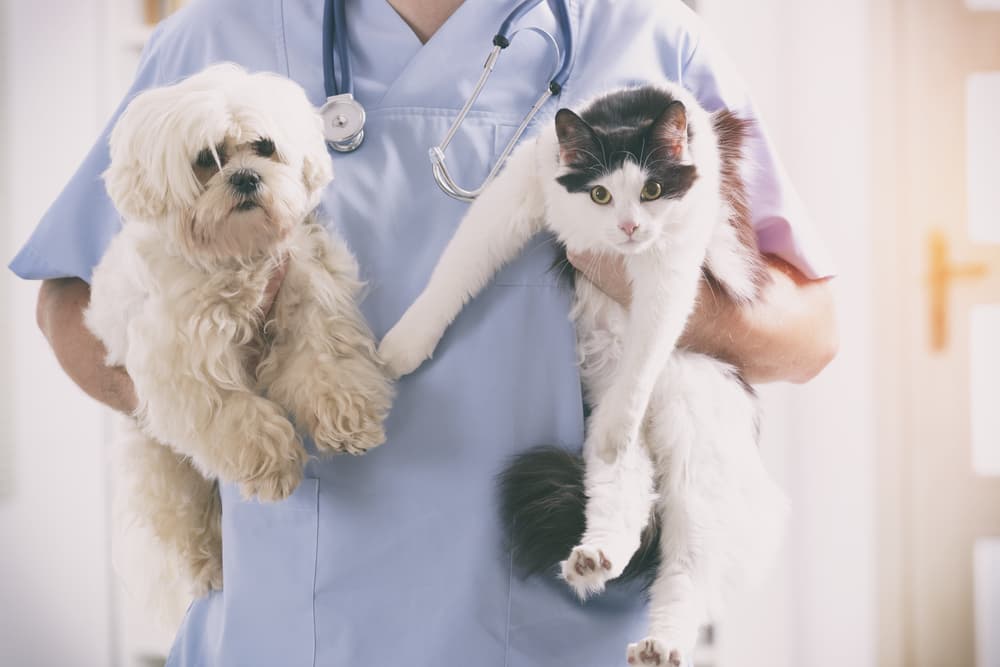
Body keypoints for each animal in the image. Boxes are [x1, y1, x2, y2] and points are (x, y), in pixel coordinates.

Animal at [85, 64, 394, 600]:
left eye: (264, 147)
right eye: (206, 161)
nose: (246, 176)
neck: (237, 257)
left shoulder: (306, 297)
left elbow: (326, 366)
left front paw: (348, 419)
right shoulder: (187, 363)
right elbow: (236, 415)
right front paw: (273, 464)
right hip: (162, 467)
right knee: (185, 519)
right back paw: (208, 564)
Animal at [378, 85, 784, 667]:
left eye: (652, 189)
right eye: (599, 194)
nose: (630, 227)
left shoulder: (672, 261)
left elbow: (649, 342)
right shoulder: (520, 190)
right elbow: (455, 271)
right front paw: (404, 346)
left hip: (700, 465)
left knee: (687, 572)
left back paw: (661, 643)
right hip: (617, 451)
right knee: (626, 500)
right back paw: (593, 560)